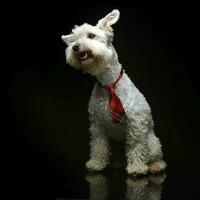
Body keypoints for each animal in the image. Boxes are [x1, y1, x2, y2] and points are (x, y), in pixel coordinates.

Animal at [61, 9, 166, 175]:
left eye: (91, 35)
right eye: (74, 40)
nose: (75, 47)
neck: (108, 83)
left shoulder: (136, 124)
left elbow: (136, 147)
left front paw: (137, 168)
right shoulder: (98, 125)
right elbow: (98, 146)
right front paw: (96, 164)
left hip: (153, 143)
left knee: (155, 155)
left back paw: (155, 165)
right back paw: (116, 163)